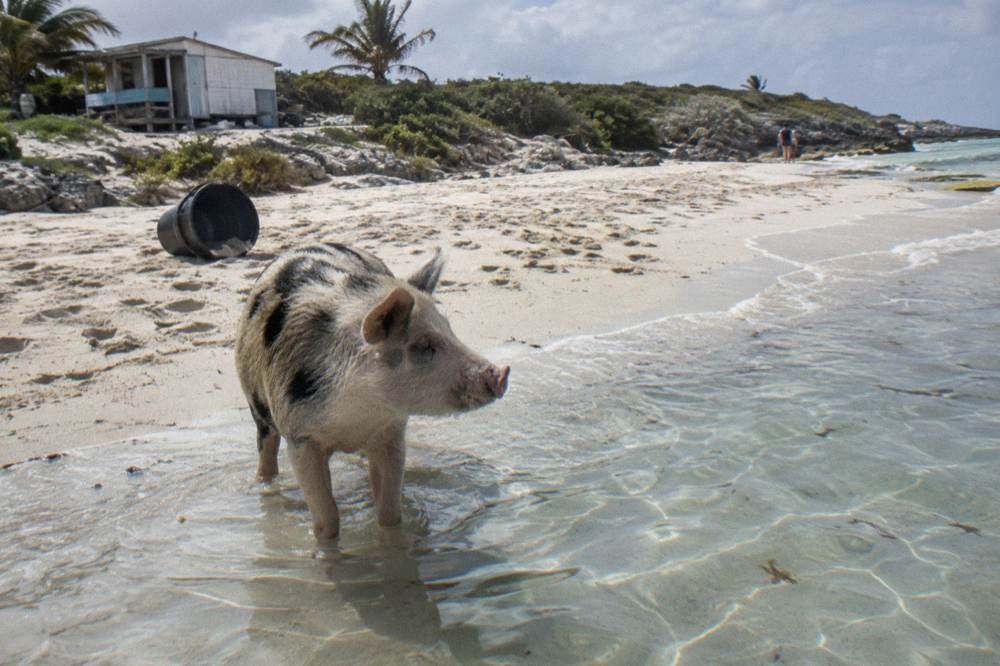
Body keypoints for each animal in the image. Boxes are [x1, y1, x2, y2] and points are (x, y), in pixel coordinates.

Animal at [235, 243, 510, 539]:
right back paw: (261, 486)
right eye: (424, 345)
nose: (501, 372)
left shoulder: (391, 431)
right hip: (258, 407)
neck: (356, 413)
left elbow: (390, 512)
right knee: (266, 448)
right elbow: (327, 517)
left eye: (450, 331)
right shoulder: (301, 437)